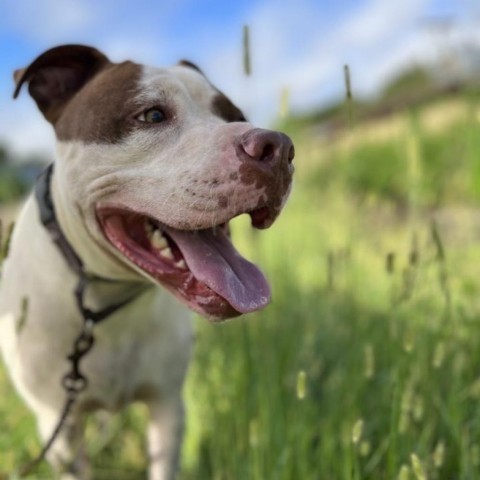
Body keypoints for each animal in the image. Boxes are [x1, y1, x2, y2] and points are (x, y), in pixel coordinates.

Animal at [0, 43, 294, 478]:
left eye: (236, 116)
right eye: (152, 115)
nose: (279, 148)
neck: (105, 301)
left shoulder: (167, 405)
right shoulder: (59, 429)